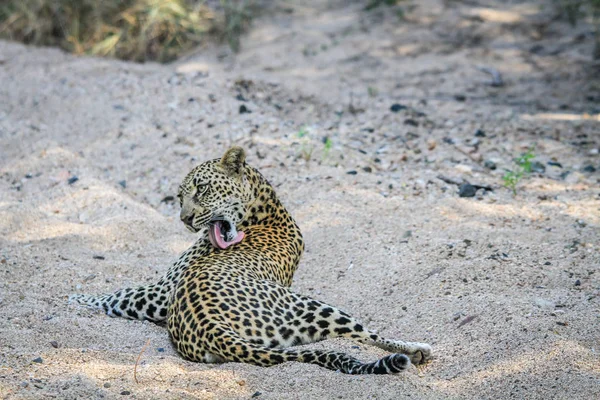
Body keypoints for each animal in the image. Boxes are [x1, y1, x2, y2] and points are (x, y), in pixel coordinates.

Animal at [70, 147, 432, 376]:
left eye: (201, 189)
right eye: (178, 197)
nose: (184, 218)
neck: (265, 209)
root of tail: (210, 327)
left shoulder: (160, 294)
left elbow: (117, 294)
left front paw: (75, 296)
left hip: (312, 304)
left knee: (364, 335)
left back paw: (415, 349)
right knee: (348, 339)